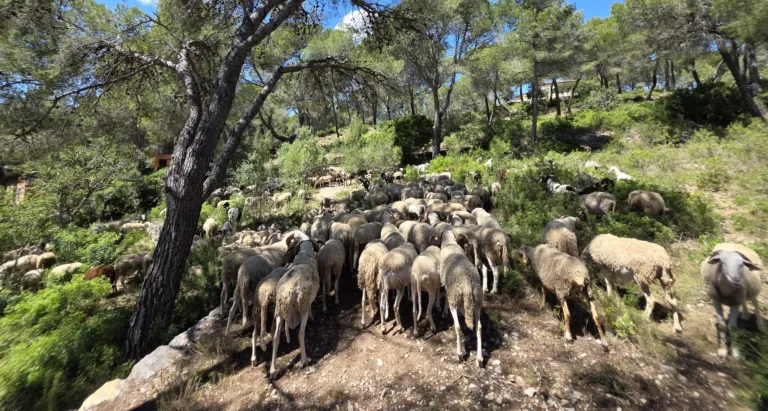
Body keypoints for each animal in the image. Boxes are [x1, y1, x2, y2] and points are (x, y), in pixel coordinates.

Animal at [269, 232, 321, 379]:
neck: (304, 255)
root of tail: (289, 293)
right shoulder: (308, 300)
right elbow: (310, 307)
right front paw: (312, 316)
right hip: (301, 308)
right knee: (300, 333)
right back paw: (304, 360)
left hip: (279, 313)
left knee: (276, 338)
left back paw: (273, 370)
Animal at [439, 230, 483, 367]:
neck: (450, 243)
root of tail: (467, 284)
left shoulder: (447, 287)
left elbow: (446, 298)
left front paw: (444, 311)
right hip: (477, 302)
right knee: (479, 327)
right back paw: (479, 358)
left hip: (455, 299)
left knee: (458, 327)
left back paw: (459, 353)